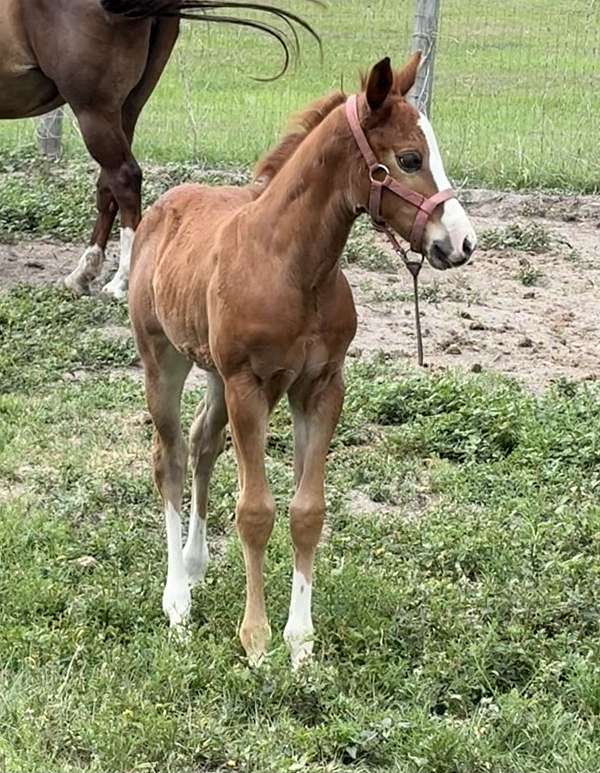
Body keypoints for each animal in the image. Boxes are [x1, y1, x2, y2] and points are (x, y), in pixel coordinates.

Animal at [0, 0, 317, 298]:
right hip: (126, 107)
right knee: (109, 183)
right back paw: (83, 274)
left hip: (94, 109)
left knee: (124, 178)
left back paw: (121, 280)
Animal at [128, 52, 477, 667]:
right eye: (409, 158)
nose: (461, 243)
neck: (291, 267)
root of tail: (164, 206)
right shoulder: (249, 385)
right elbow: (255, 511)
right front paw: (256, 640)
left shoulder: (320, 385)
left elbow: (306, 511)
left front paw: (301, 643)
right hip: (164, 359)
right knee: (167, 457)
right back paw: (176, 602)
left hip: (214, 372)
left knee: (201, 443)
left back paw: (194, 568)